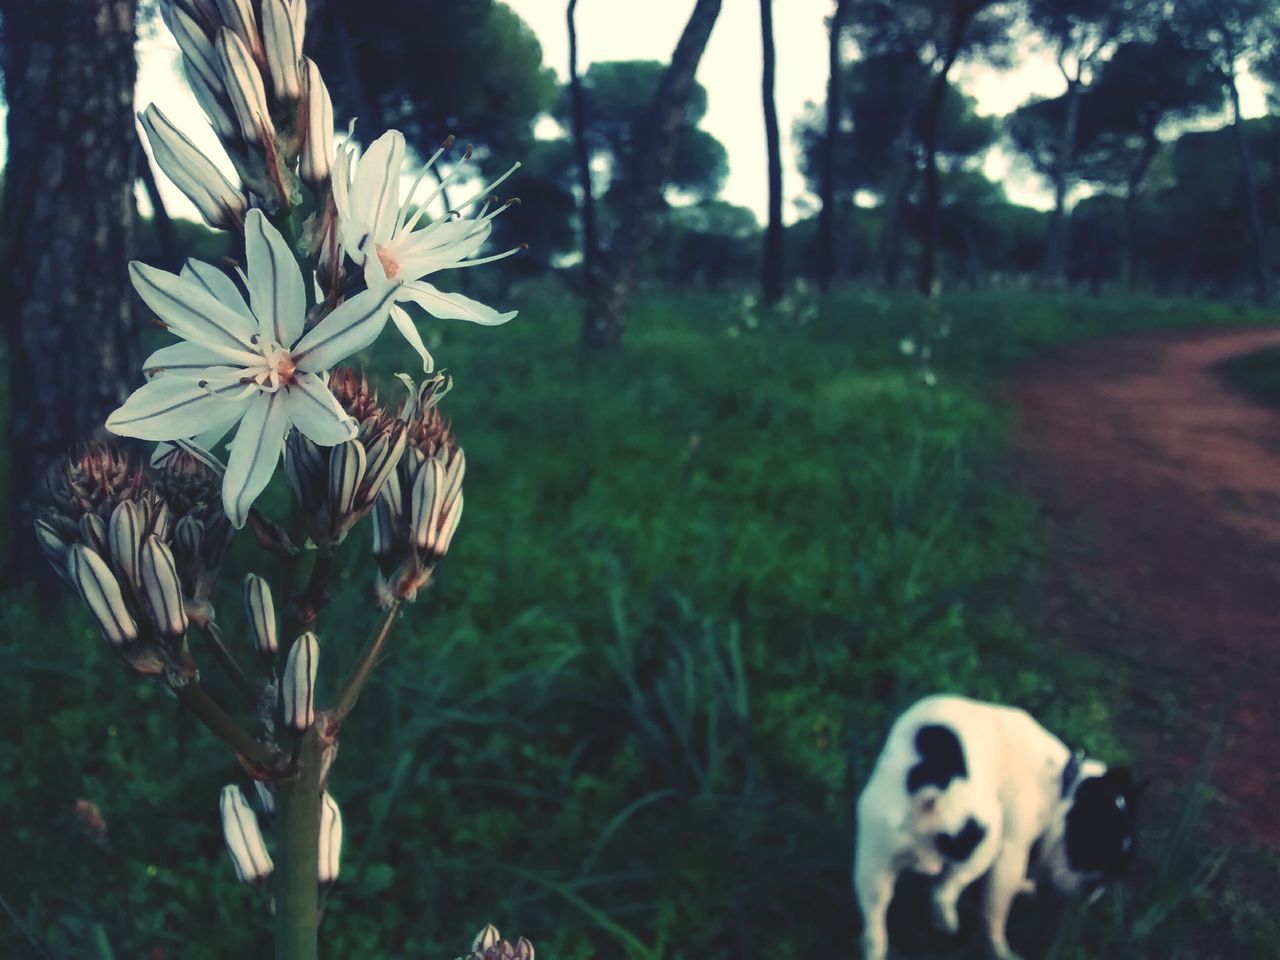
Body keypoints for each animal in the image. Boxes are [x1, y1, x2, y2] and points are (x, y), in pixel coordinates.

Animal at [855, 701, 1136, 960]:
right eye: (1093, 849)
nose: (1092, 893)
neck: (1062, 780)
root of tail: (930, 792)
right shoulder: (1012, 850)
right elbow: (996, 911)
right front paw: (999, 946)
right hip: (988, 840)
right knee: (944, 891)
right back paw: (953, 923)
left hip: (873, 863)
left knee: (875, 921)